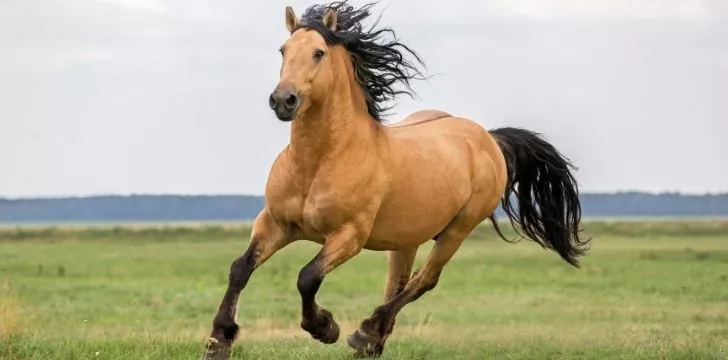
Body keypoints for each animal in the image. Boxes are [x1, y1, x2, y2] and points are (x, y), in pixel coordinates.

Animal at [202, 1, 588, 358]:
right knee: (397, 284)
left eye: (318, 53)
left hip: (457, 230)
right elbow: (240, 269)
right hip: (407, 239)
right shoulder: (275, 223)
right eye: (283, 50)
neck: (320, 161)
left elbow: (307, 277)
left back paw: (365, 333)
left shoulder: (349, 235)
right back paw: (372, 341)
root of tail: (488, 139)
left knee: (423, 281)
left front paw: (325, 328)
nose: (283, 100)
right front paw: (219, 339)